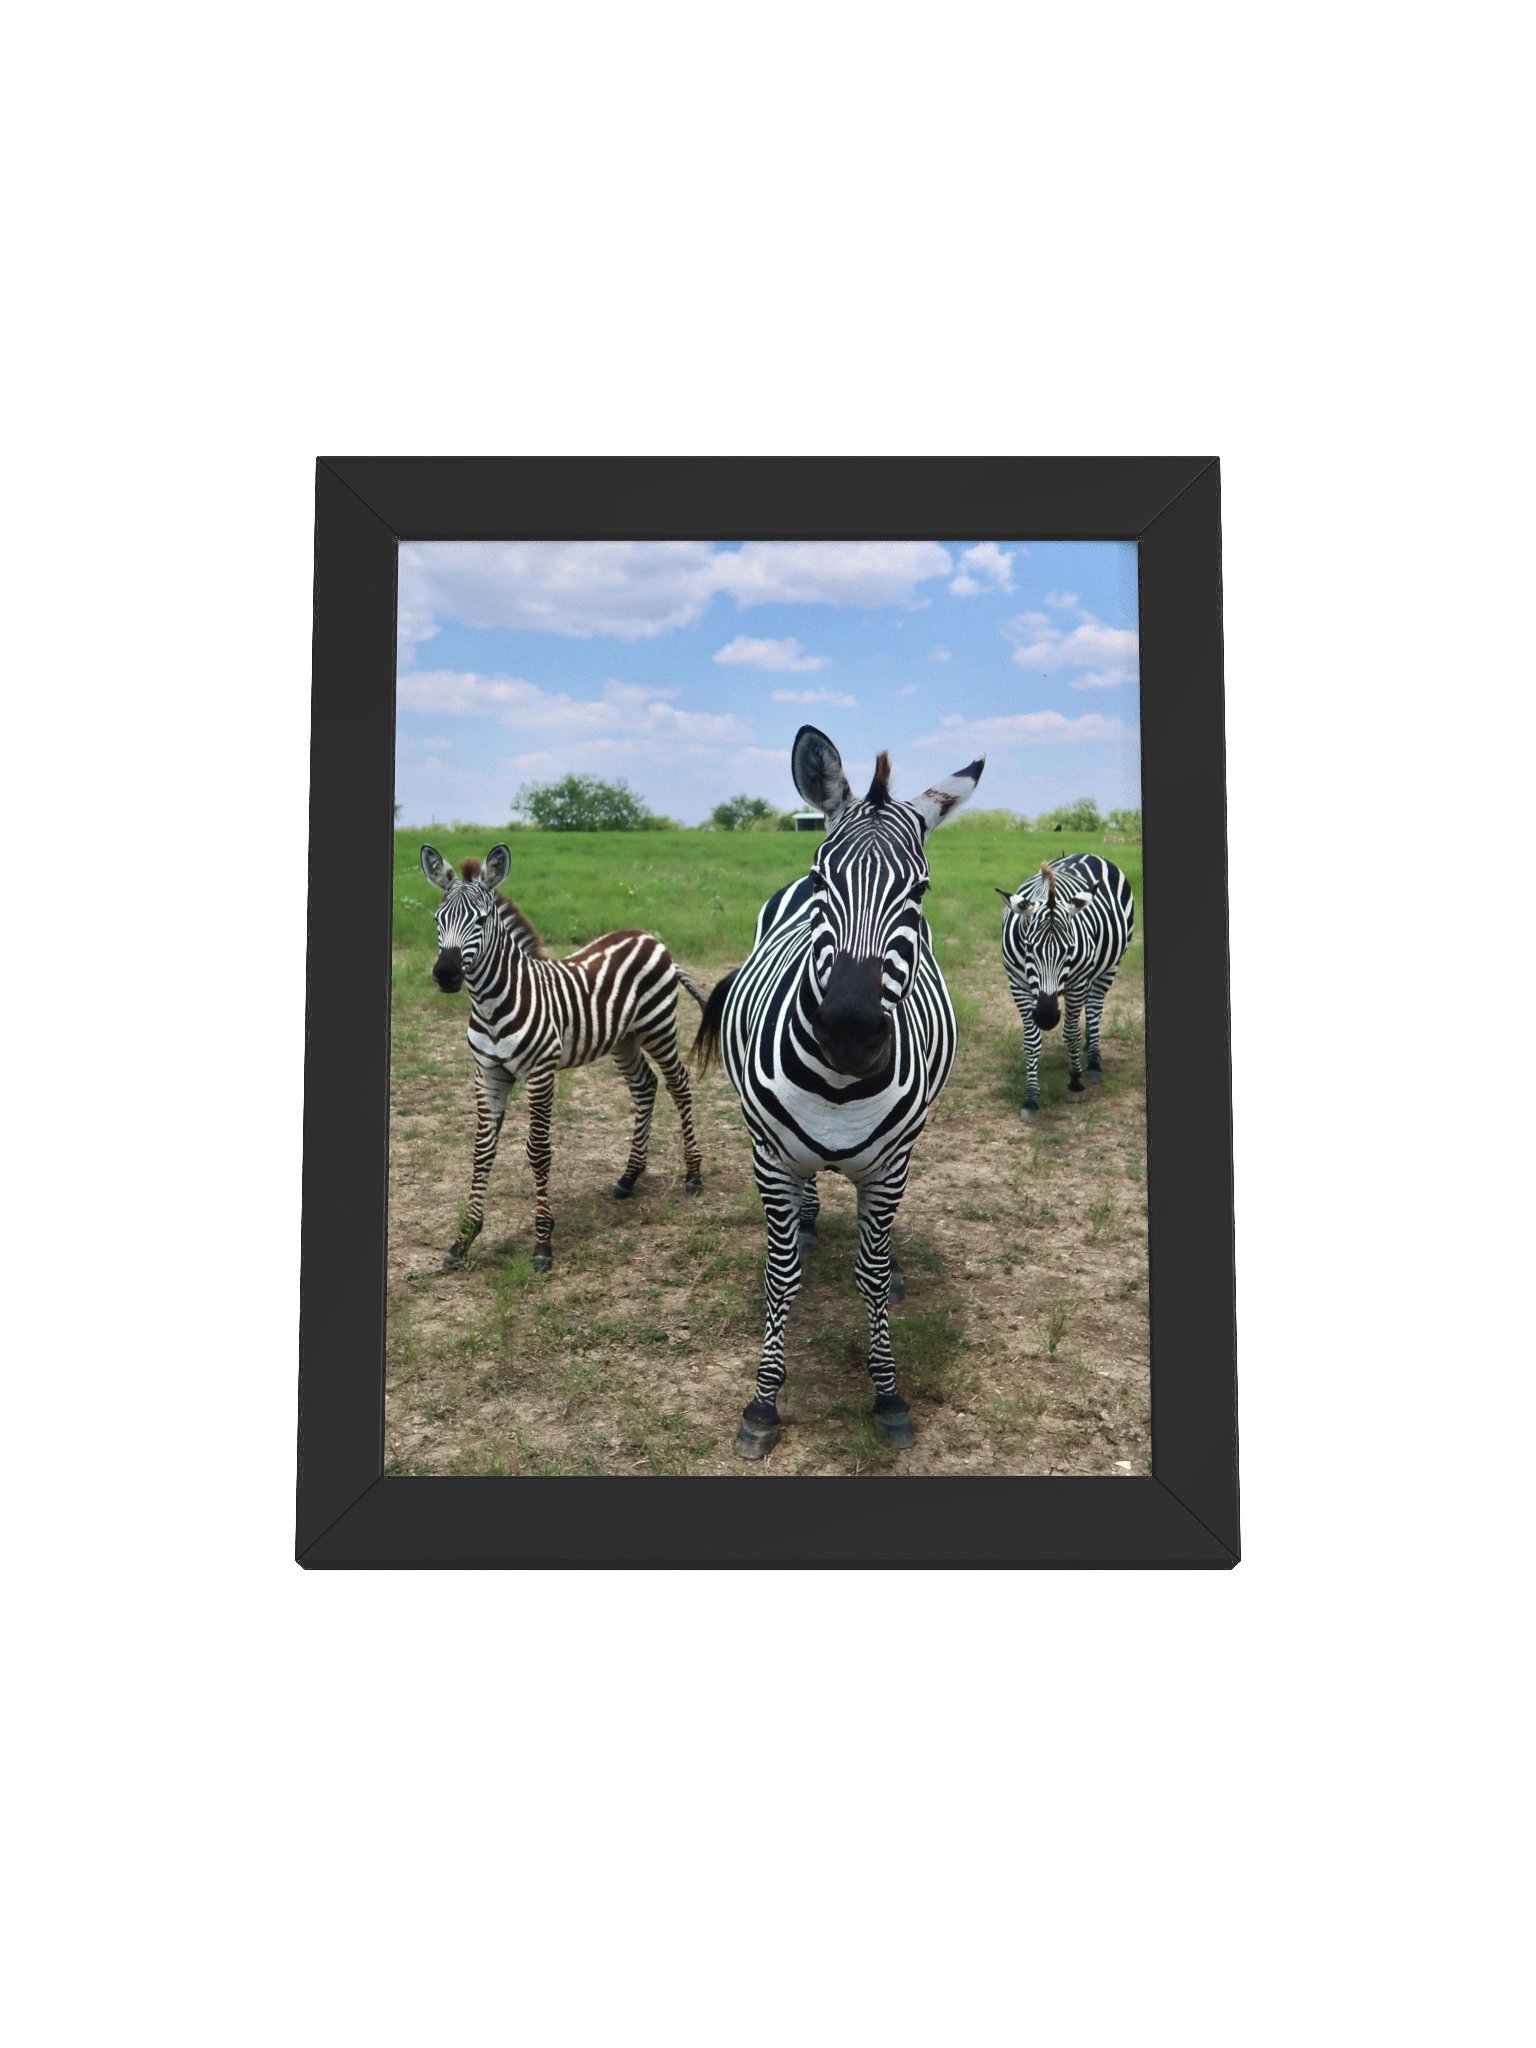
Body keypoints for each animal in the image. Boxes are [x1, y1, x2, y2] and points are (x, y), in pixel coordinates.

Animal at [420, 843, 707, 1274]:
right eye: (438, 919)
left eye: (482, 920)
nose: (446, 975)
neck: (491, 1003)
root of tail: (648, 937)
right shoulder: (488, 1073)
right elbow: (481, 1151)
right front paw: (463, 1240)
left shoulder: (540, 1073)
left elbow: (538, 1153)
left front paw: (542, 1243)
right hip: (623, 1039)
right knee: (645, 1086)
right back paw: (629, 1177)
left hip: (657, 1026)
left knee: (679, 1084)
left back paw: (693, 1176)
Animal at [694, 725, 984, 1460]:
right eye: (825, 879)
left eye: (920, 891)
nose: (850, 1032)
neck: (840, 1086)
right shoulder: (769, 1158)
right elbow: (782, 1275)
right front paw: (763, 1403)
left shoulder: (889, 1168)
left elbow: (871, 1275)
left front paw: (887, 1393)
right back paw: (805, 1220)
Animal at [996, 853, 1135, 1114]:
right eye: (1029, 948)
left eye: (1070, 949)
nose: (1047, 1017)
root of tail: (1087, 854)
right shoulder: (1017, 984)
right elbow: (1031, 1040)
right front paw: (1030, 1096)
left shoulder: (1077, 982)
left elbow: (1070, 1032)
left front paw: (1075, 1081)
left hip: (1110, 966)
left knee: (1094, 1008)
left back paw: (1093, 1060)